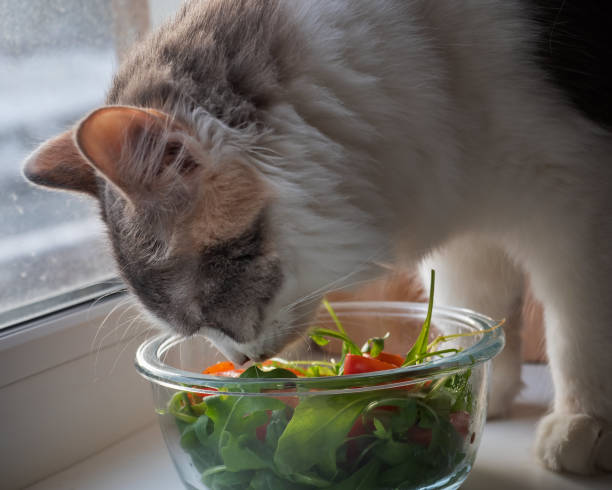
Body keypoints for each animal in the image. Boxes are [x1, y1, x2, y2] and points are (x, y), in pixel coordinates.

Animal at [20, 0, 612, 474]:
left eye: (210, 306)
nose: (243, 365)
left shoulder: (574, 201)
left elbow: (579, 337)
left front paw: (582, 423)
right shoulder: (469, 239)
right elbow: (486, 315)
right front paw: (485, 385)